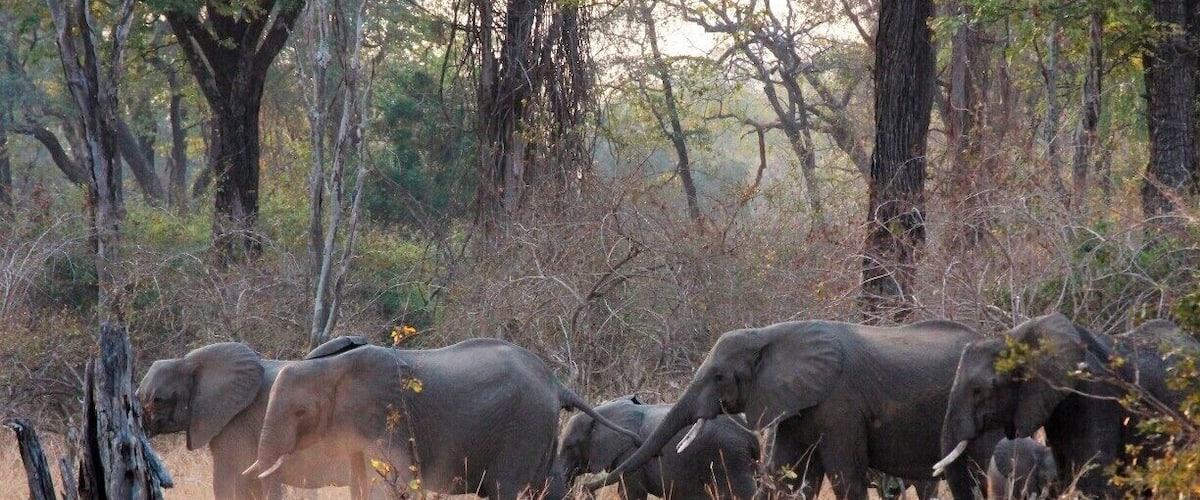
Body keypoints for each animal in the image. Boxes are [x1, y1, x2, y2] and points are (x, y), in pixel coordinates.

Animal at [242, 338, 642, 500]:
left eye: (300, 412)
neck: (328, 367)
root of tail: (556, 383)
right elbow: (361, 482)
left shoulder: (385, 411)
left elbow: (392, 482)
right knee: (550, 485)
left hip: (522, 427)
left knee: (506, 489)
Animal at [556, 395, 759, 499]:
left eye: (570, 447)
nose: (585, 489)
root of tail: (750, 435)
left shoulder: (629, 455)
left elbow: (632, 493)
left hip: (730, 455)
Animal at [585, 319, 1002, 500]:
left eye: (719, 377)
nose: (587, 486)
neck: (769, 334)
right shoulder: (794, 404)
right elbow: (784, 475)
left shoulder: (842, 406)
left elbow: (844, 477)